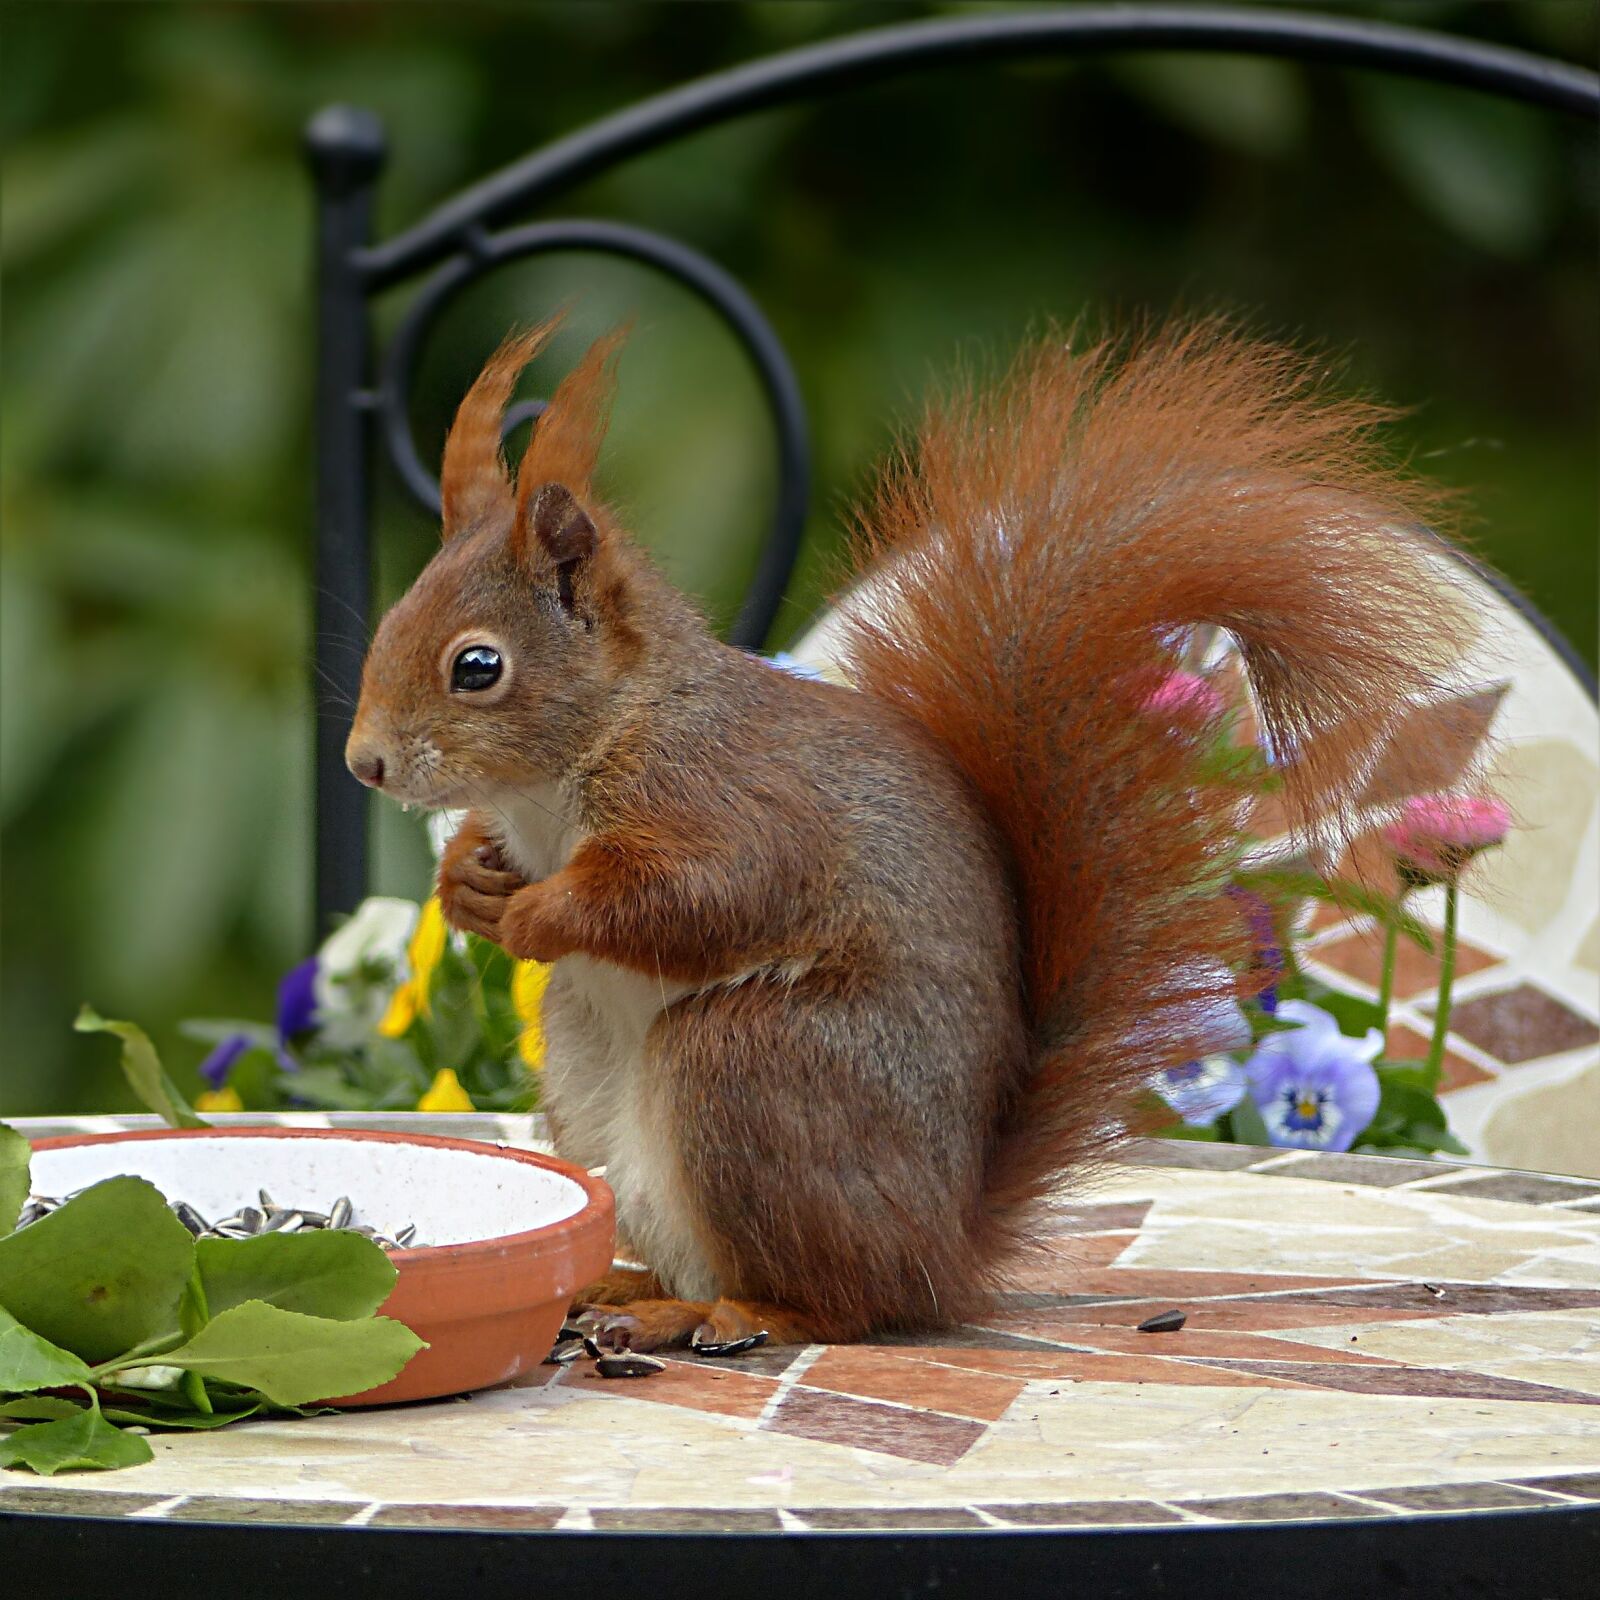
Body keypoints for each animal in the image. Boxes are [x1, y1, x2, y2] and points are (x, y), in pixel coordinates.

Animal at [346, 317, 1469, 1351]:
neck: (575, 762)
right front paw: (471, 884)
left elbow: (709, 895)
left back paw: (730, 1311)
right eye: (389, 623)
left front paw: (539, 914)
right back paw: (633, 1290)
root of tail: (943, 1246)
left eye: (477, 667)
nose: (365, 764)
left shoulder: (727, 798)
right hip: (590, 1077)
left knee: (839, 1304)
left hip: (752, 1066)